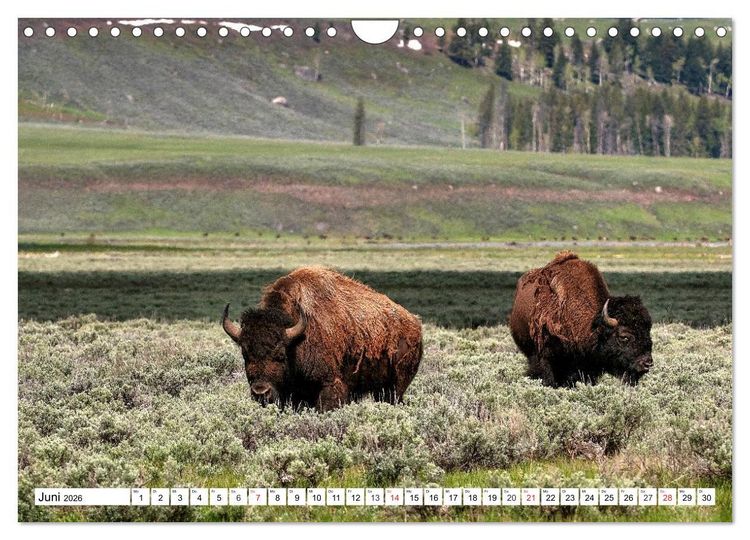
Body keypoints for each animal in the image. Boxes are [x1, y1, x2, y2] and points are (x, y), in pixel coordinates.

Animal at [222, 266, 423, 411]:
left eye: (280, 355)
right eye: (245, 354)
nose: (260, 392)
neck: (297, 340)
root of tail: (415, 324)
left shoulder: (329, 385)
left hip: (395, 387)